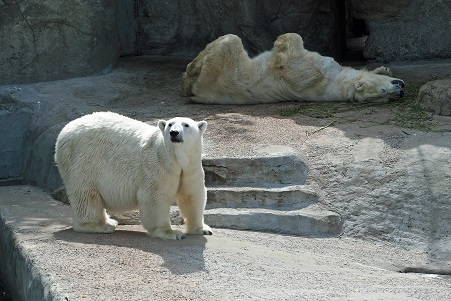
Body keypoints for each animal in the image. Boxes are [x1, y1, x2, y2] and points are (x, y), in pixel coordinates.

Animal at [53, 110, 213, 239]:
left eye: (186, 125)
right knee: (86, 195)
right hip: (84, 162)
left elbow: (192, 194)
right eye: (170, 124)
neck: (175, 158)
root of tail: (64, 132)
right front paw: (171, 233)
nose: (174, 132)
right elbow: (155, 197)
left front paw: (203, 229)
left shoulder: (191, 167)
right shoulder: (158, 166)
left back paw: (109, 221)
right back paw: (99, 226)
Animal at [182, 32, 408, 104]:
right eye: (384, 91)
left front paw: (281, 42)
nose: (400, 90)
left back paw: (189, 73)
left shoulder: (314, 74)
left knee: (230, 42)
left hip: (221, 73)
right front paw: (383, 70)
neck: (340, 81)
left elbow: (288, 61)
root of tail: (200, 95)